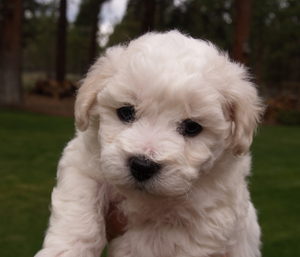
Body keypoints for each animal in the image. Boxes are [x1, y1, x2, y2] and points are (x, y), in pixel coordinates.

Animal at [35, 30, 264, 256]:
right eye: (126, 112)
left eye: (192, 127)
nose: (142, 166)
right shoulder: (82, 164)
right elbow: (80, 211)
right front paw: (67, 249)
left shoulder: (208, 220)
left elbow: (152, 241)